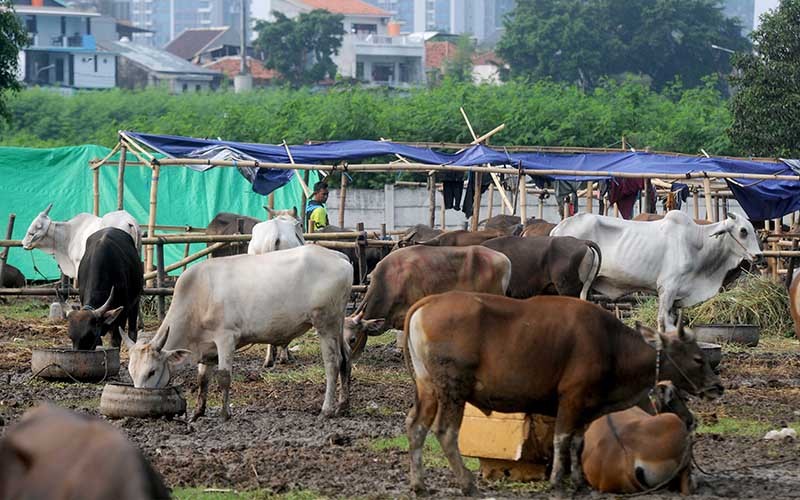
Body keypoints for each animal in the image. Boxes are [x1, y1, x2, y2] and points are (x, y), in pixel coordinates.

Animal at [127, 244, 354, 420]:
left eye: (152, 371)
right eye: (131, 372)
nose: (140, 401)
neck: (198, 296)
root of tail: (337, 256)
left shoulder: (226, 337)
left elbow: (224, 377)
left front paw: (225, 414)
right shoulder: (207, 347)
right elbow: (203, 379)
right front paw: (198, 412)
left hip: (325, 324)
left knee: (333, 364)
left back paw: (326, 410)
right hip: (338, 324)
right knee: (345, 358)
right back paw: (343, 406)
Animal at [404, 294, 720, 494]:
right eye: (698, 359)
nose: (717, 386)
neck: (611, 345)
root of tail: (427, 302)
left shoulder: (588, 405)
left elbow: (578, 442)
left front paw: (578, 481)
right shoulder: (572, 398)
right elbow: (562, 439)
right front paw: (557, 481)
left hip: (428, 386)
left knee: (416, 427)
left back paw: (419, 485)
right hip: (453, 388)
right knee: (445, 432)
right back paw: (468, 485)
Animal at [552, 211, 764, 332]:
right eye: (743, 231)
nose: (759, 256)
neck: (697, 244)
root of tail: (557, 229)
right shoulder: (668, 288)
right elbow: (663, 322)